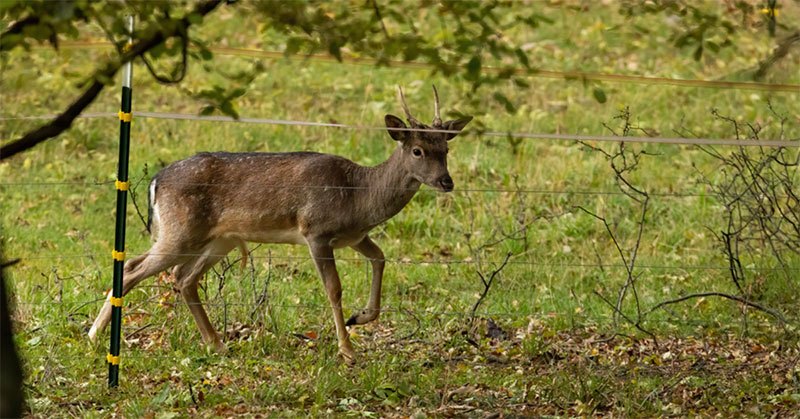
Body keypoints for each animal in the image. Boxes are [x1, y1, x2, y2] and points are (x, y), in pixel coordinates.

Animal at [88, 86, 472, 364]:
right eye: (418, 150)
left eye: (445, 149)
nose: (446, 181)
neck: (360, 196)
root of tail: (156, 181)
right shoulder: (316, 229)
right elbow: (334, 289)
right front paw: (348, 350)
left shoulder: (354, 236)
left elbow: (380, 259)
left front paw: (360, 317)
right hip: (179, 231)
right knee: (133, 268)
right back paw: (94, 337)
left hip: (219, 239)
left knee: (183, 278)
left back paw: (217, 344)